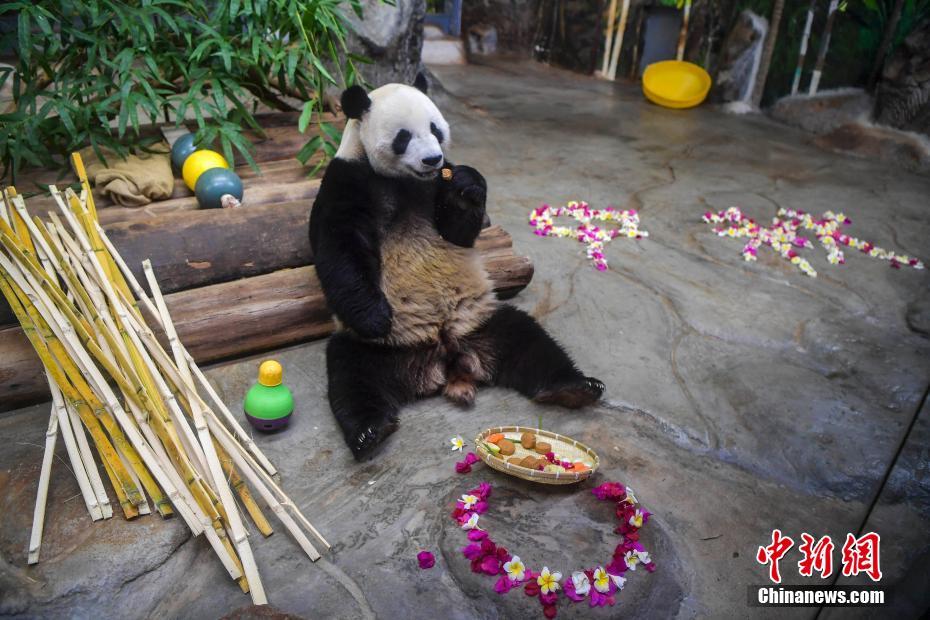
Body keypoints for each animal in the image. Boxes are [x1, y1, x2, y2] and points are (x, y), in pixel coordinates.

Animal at [308, 74, 604, 460]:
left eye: (435, 128)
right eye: (404, 137)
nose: (433, 158)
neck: (404, 180)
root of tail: (446, 360)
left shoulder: (436, 184)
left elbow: (457, 230)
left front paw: (467, 187)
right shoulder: (349, 180)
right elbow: (340, 248)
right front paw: (376, 317)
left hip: (482, 320)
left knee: (529, 340)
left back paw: (574, 387)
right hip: (379, 348)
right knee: (352, 375)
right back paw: (370, 431)